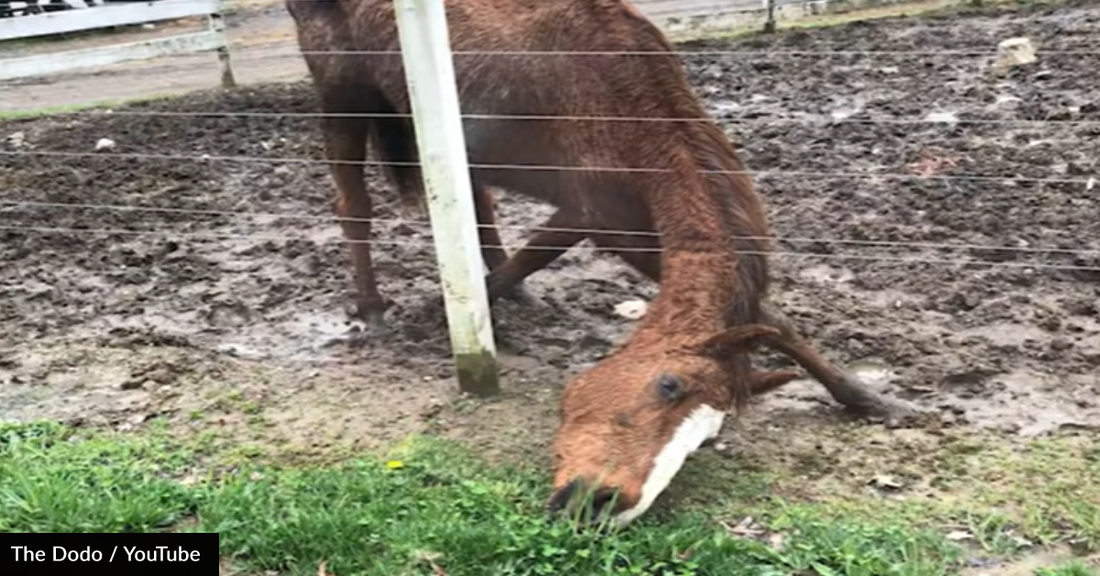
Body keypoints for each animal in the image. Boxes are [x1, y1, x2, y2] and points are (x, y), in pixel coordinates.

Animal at [286, 0, 919, 525]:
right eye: (668, 386)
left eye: (707, 434)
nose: (602, 505)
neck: (623, 100)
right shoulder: (597, 215)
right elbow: (525, 262)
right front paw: (437, 315)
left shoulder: (640, 228)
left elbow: (775, 320)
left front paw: (874, 400)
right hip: (340, 89)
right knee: (353, 205)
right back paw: (371, 309)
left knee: (476, 200)